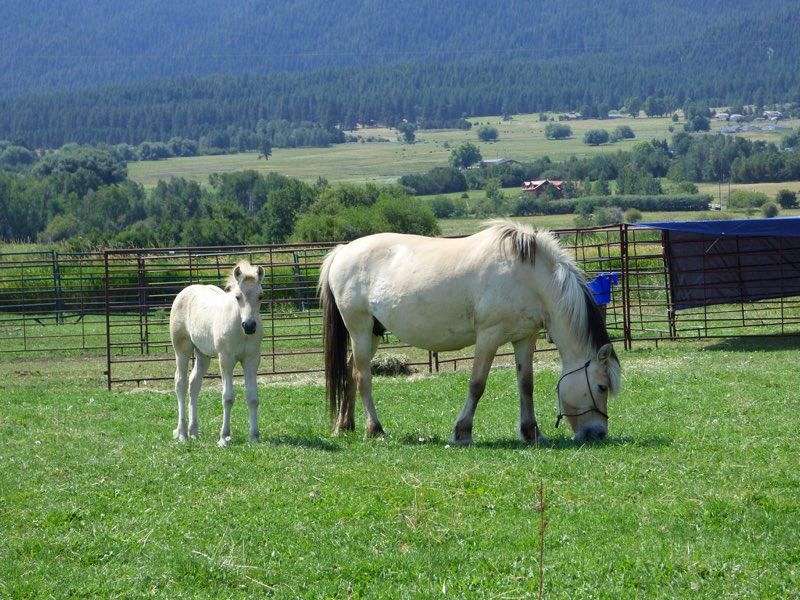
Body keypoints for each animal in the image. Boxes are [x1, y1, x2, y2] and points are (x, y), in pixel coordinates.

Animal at [170, 260, 266, 448]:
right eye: (237, 297)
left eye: (260, 296)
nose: (250, 326)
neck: (239, 328)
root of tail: (184, 292)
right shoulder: (226, 359)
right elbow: (228, 397)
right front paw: (224, 437)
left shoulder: (252, 360)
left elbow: (253, 397)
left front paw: (254, 436)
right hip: (182, 350)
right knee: (181, 384)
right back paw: (182, 433)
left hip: (202, 355)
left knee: (194, 384)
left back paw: (193, 431)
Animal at [318, 220, 620, 440]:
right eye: (602, 387)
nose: (597, 434)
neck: (529, 278)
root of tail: (342, 251)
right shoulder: (488, 336)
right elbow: (477, 384)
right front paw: (462, 432)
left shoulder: (525, 338)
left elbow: (526, 385)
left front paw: (531, 432)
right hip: (360, 329)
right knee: (363, 376)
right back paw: (375, 429)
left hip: (372, 333)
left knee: (349, 370)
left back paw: (345, 425)